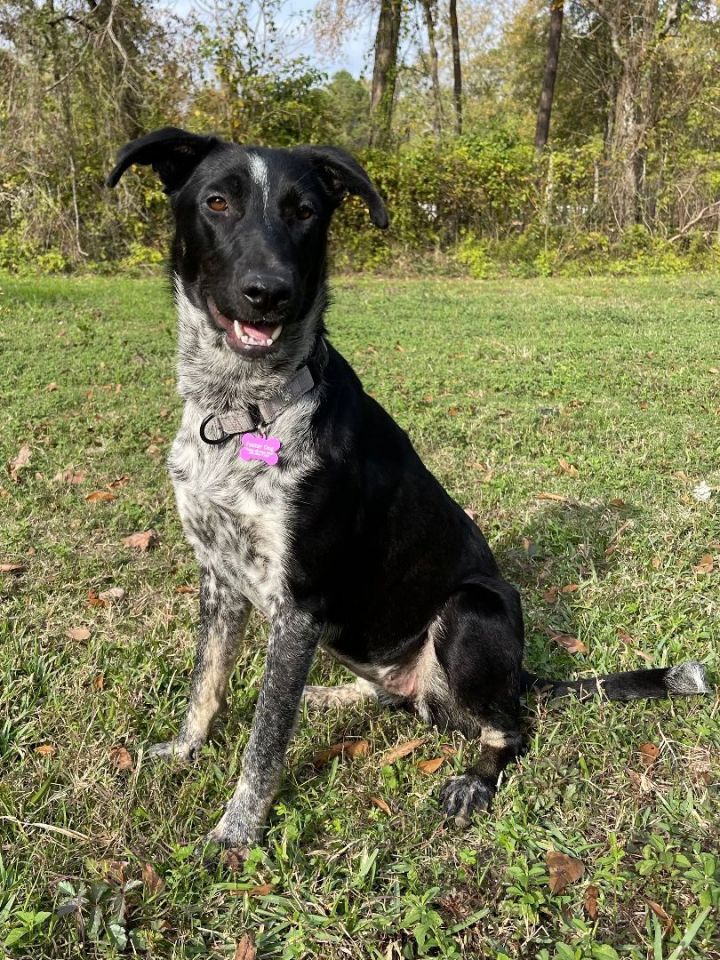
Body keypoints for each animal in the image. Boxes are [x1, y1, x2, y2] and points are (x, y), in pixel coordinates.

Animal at [105, 127, 708, 856]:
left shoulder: (299, 604)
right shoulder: (219, 577)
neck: (243, 409)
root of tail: (520, 674)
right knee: (397, 697)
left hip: (470, 611)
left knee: (509, 726)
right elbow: (208, 682)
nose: (268, 292)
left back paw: (474, 777)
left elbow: (265, 741)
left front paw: (237, 831)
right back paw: (333, 695)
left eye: (304, 211)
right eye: (218, 202)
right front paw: (186, 748)